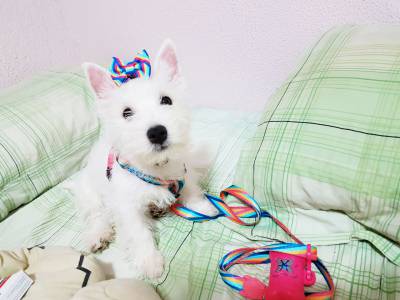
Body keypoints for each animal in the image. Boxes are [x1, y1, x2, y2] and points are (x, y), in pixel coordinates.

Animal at [72, 39, 216, 278]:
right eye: (126, 113)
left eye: (166, 100)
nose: (157, 132)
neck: (156, 165)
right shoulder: (127, 205)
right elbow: (138, 232)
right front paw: (150, 261)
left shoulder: (183, 171)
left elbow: (191, 189)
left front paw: (203, 207)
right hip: (90, 193)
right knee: (99, 214)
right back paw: (98, 235)